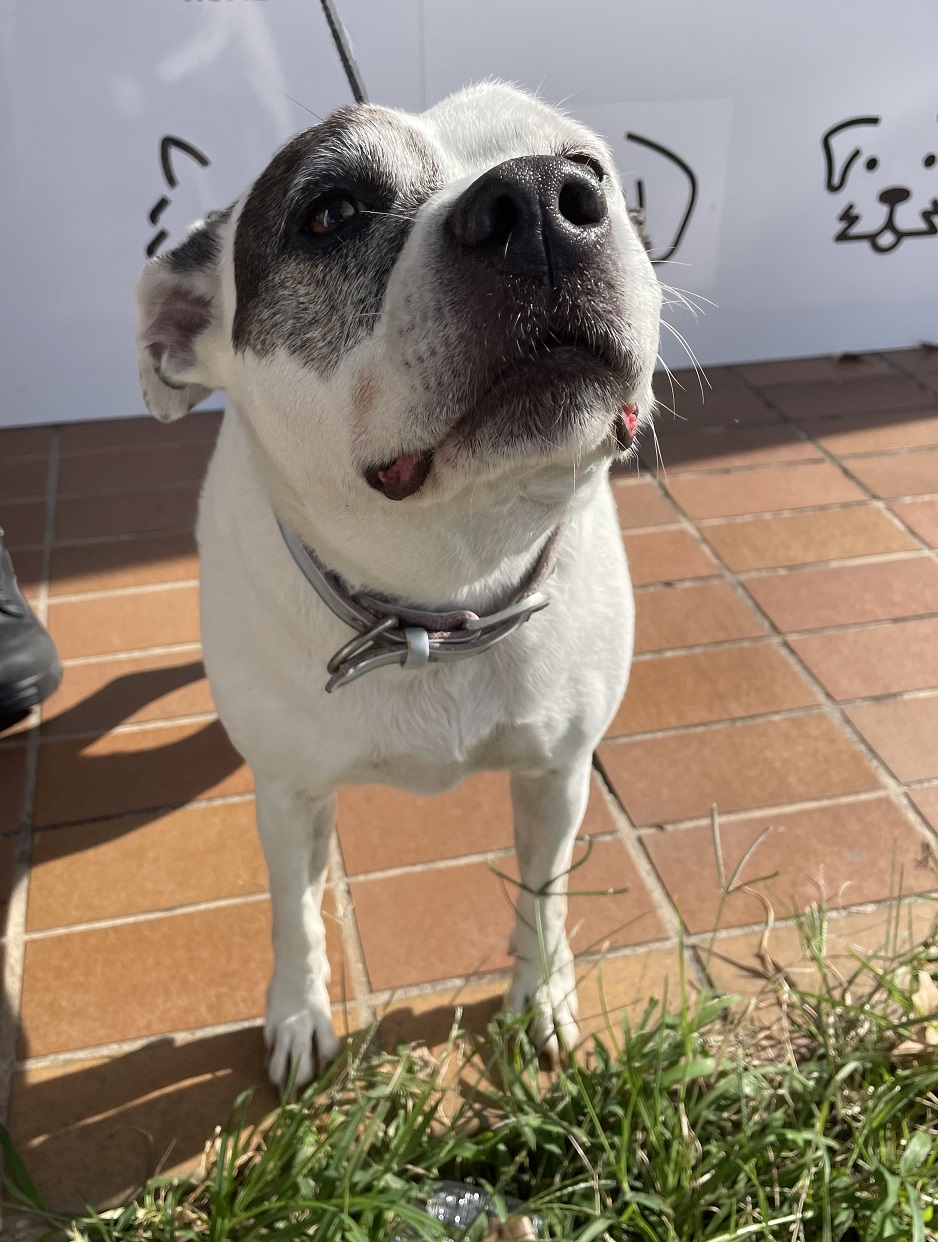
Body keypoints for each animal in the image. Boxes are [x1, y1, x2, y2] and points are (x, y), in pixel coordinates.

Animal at [135, 82, 662, 1088]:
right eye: (331, 212)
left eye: (590, 166)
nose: (540, 198)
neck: (444, 593)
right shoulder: (288, 795)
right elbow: (294, 915)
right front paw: (297, 1015)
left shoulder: (558, 771)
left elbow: (543, 892)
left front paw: (540, 994)